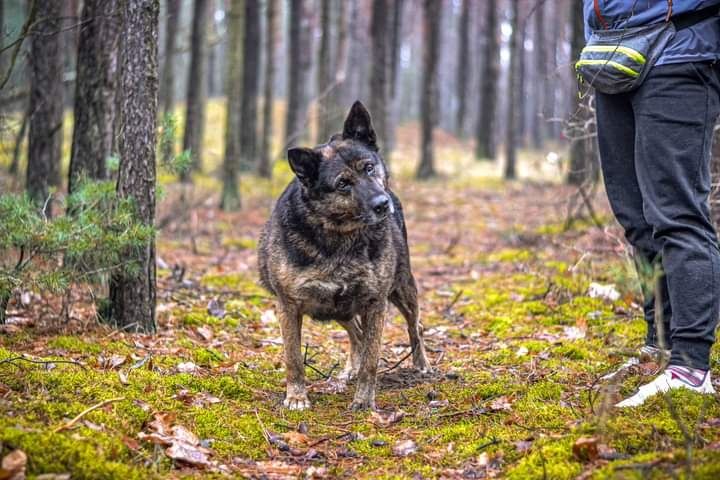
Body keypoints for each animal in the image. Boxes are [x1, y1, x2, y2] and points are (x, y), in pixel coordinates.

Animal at [258, 100, 430, 408]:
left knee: (415, 326)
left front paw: (364, 401)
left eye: (369, 168)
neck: (341, 236)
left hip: (401, 288)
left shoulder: (375, 303)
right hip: (337, 308)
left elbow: (372, 360)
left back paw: (421, 363)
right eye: (343, 183)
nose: (383, 204)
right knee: (357, 336)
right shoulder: (288, 305)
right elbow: (293, 359)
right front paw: (296, 396)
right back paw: (351, 368)